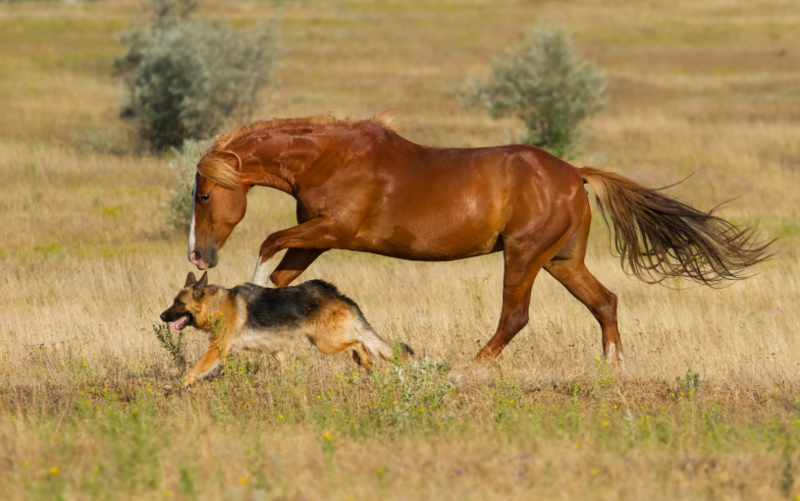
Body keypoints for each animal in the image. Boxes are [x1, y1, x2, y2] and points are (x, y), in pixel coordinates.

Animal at [158, 272, 406, 384]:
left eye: (178, 303)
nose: (161, 316)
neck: (214, 305)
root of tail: (336, 293)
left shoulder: (216, 349)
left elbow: (194, 371)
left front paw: (177, 387)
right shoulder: (274, 349)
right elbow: (282, 367)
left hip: (325, 343)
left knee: (358, 343)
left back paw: (365, 362)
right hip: (327, 340)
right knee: (359, 343)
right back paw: (364, 364)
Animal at [184, 113, 772, 364]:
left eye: (205, 195)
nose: (198, 254)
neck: (331, 157)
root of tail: (574, 174)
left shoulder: (334, 229)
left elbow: (267, 244)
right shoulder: (316, 238)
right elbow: (284, 270)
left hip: (524, 255)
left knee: (516, 317)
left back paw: (471, 368)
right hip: (561, 260)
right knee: (605, 301)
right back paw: (610, 368)